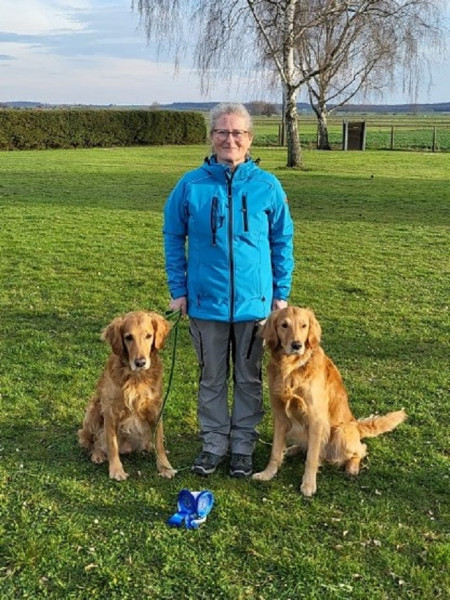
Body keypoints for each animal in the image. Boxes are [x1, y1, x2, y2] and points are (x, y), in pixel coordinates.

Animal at [78, 311, 176, 481]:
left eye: (149, 336)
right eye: (128, 337)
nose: (140, 362)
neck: (136, 377)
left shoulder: (156, 408)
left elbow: (159, 442)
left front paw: (165, 466)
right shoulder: (110, 410)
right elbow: (111, 444)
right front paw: (116, 470)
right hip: (93, 409)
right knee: (95, 441)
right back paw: (97, 454)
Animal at [253, 306, 406, 497]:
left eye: (304, 325)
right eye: (284, 325)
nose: (297, 345)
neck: (291, 367)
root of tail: (356, 425)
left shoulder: (316, 418)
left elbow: (311, 458)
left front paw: (308, 485)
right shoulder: (280, 416)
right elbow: (275, 452)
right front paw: (268, 473)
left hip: (340, 432)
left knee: (360, 449)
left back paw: (352, 467)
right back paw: (292, 449)